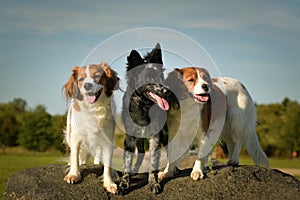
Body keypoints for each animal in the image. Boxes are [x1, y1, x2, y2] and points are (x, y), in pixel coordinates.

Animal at [62, 63, 119, 194]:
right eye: (81, 79)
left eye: (97, 76)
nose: (87, 85)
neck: (93, 109)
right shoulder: (75, 137)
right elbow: (75, 157)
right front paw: (74, 174)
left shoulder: (107, 140)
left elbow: (107, 165)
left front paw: (109, 183)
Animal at [119, 43, 171, 195]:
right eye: (148, 78)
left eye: (161, 76)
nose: (168, 92)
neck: (144, 107)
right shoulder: (130, 137)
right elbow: (127, 161)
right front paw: (124, 184)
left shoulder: (156, 136)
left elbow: (153, 162)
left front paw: (153, 183)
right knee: (141, 153)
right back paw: (134, 170)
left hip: (165, 134)